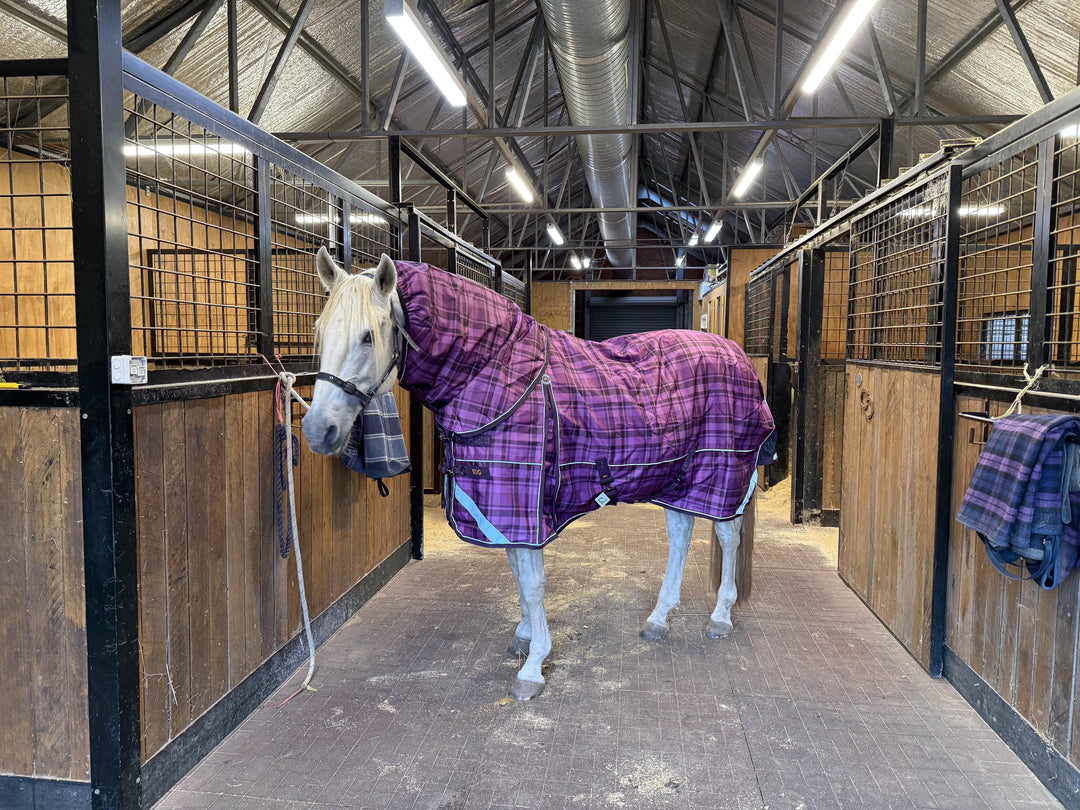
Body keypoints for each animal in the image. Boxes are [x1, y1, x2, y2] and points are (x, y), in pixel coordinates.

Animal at [301, 248, 775, 700]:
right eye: (319, 331)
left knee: (727, 537)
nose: (317, 430)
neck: (493, 370)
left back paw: (720, 616)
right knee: (680, 535)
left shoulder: (523, 505)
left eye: (368, 335)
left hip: (724, 473)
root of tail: (735, 353)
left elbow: (532, 584)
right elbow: (517, 573)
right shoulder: (499, 509)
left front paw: (533, 666)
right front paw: (525, 635)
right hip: (678, 480)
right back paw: (658, 619)